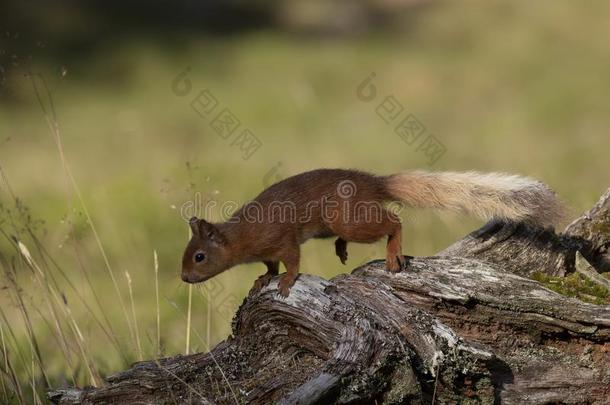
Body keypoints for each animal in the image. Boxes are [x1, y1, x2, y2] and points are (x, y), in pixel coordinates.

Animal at [179, 168, 560, 296]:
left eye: (199, 256)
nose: (184, 278)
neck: (242, 236)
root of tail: (374, 183)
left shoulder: (282, 238)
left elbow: (291, 262)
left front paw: (285, 282)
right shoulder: (267, 250)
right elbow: (269, 265)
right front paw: (262, 279)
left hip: (346, 217)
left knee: (394, 221)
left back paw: (392, 256)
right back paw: (342, 248)